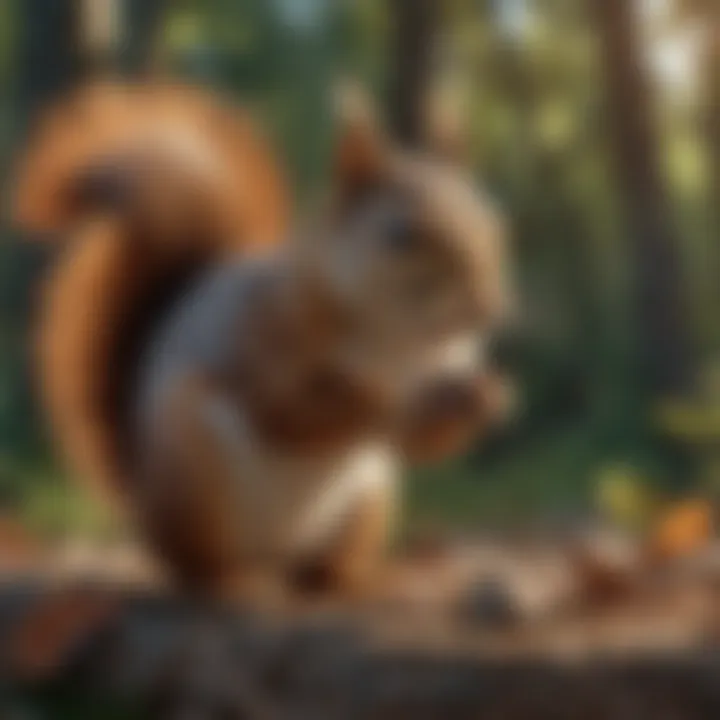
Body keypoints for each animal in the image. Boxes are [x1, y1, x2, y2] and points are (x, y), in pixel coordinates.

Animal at [14, 80, 511, 604]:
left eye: (492, 222)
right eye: (402, 235)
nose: (486, 306)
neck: (400, 345)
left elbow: (427, 444)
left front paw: (484, 398)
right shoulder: (266, 339)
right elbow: (293, 409)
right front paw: (396, 404)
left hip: (369, 498)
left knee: (318, 570)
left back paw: (360, 579)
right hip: (192, 466)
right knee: (198, 565)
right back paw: (233, 582)